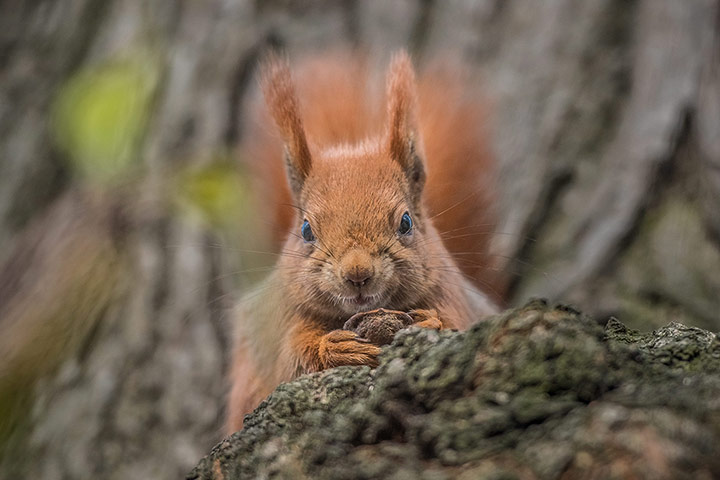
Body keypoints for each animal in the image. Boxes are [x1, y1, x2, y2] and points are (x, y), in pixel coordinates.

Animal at [229, 49, 500, 432]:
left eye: (406, 222)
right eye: (306, 230)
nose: (357, 273)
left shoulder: (454, 297)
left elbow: (455, 323)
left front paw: (430, 323)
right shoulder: (279, 320)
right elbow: (290, 360)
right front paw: (335, 348)